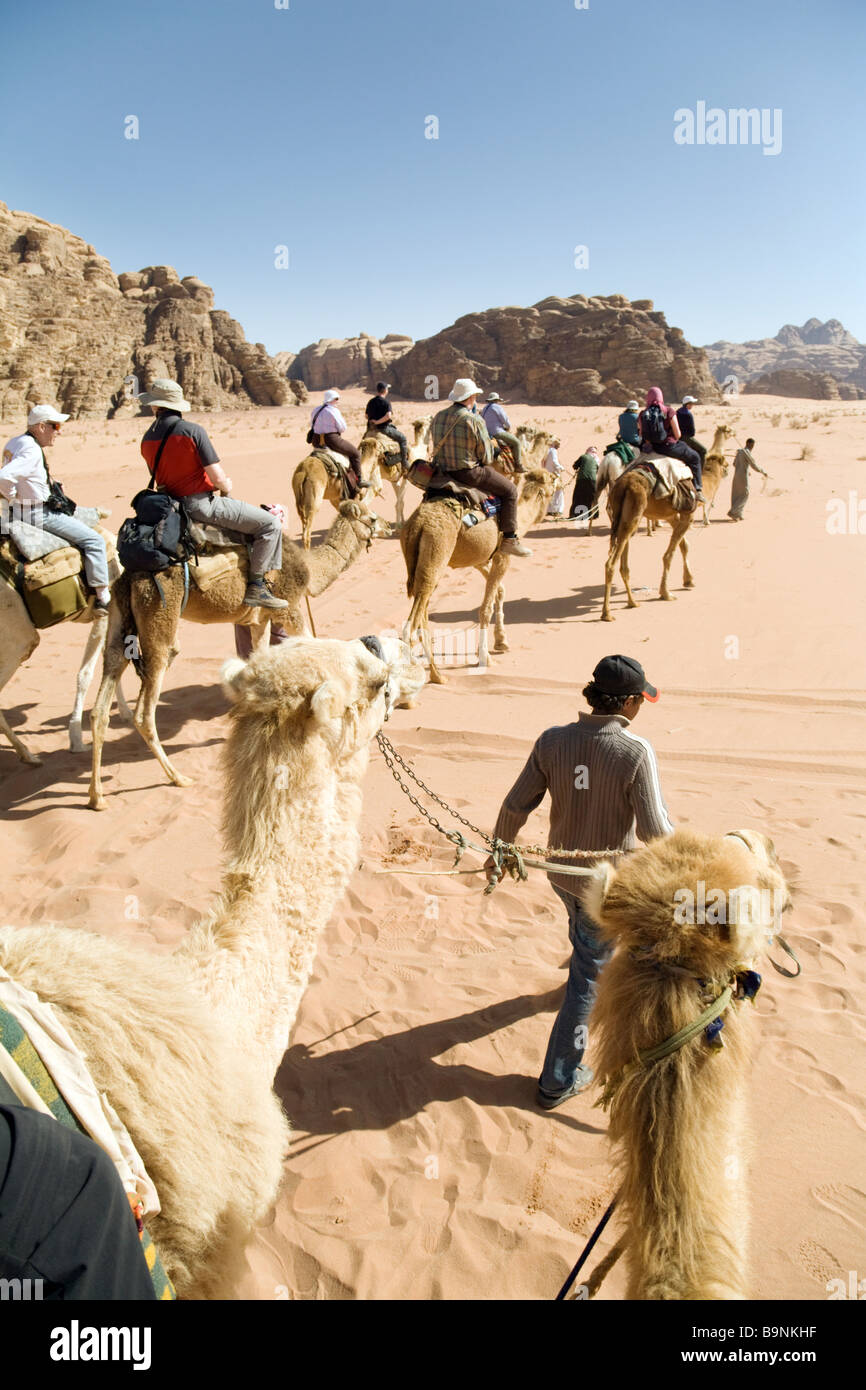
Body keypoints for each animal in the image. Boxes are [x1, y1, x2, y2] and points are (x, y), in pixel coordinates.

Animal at [87, 500, 386, 811]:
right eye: (372, 518)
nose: (390, 526)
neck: (310, 568)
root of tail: (129, 577)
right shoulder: (289, 607)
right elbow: (311, 646)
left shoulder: (260, 619)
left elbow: (260, 657)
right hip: (159, 618)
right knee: (145, 712)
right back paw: (178, 778)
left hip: (119, 619)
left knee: (101, 703)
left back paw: (97, 797)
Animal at [403, 467, 558, 683]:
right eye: (552, 479)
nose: (559, 476)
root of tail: (419, 524)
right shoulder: (502, 556)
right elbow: (485, 608)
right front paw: (485, 658)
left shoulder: (481, 560)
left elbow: (500, 592)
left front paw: (501, 641)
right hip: (437, 551)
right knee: (411, 625)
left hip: (423, 563)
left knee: (422, 610)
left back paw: (438, 675)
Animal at [603, 422, 733, 625]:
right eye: (728, 431)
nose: (728, 467)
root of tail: (623, 485)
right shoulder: (688, 514)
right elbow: (669, 554)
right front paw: (666, 593)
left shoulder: (672, 516)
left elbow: (684, 546)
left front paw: (689, 580)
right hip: (633, 515)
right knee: (611, 563)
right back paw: (607, 613)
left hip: (623, 519)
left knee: (623, 563)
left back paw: (632, 602)